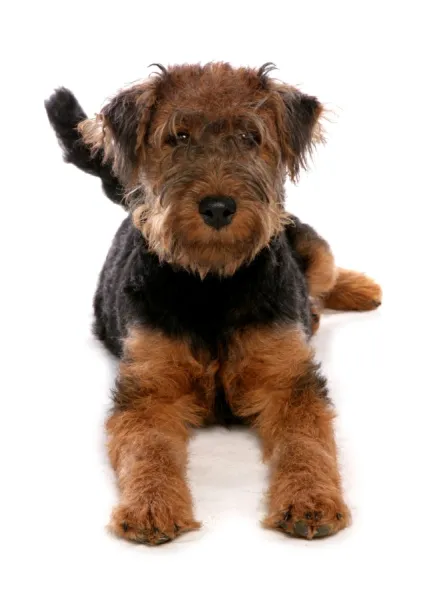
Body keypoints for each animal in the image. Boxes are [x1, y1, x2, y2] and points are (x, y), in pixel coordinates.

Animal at [45, 63, 382, 548]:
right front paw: (151, 508)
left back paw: (362, 290)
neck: (212, 284)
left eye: (250, 136)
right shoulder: (149, 389)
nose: (218, 208)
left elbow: (306, 443)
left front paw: (310, 502)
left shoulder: (288, 382)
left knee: (326, 273)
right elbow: (147, 448)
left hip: (306, 242)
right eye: (178, 136)